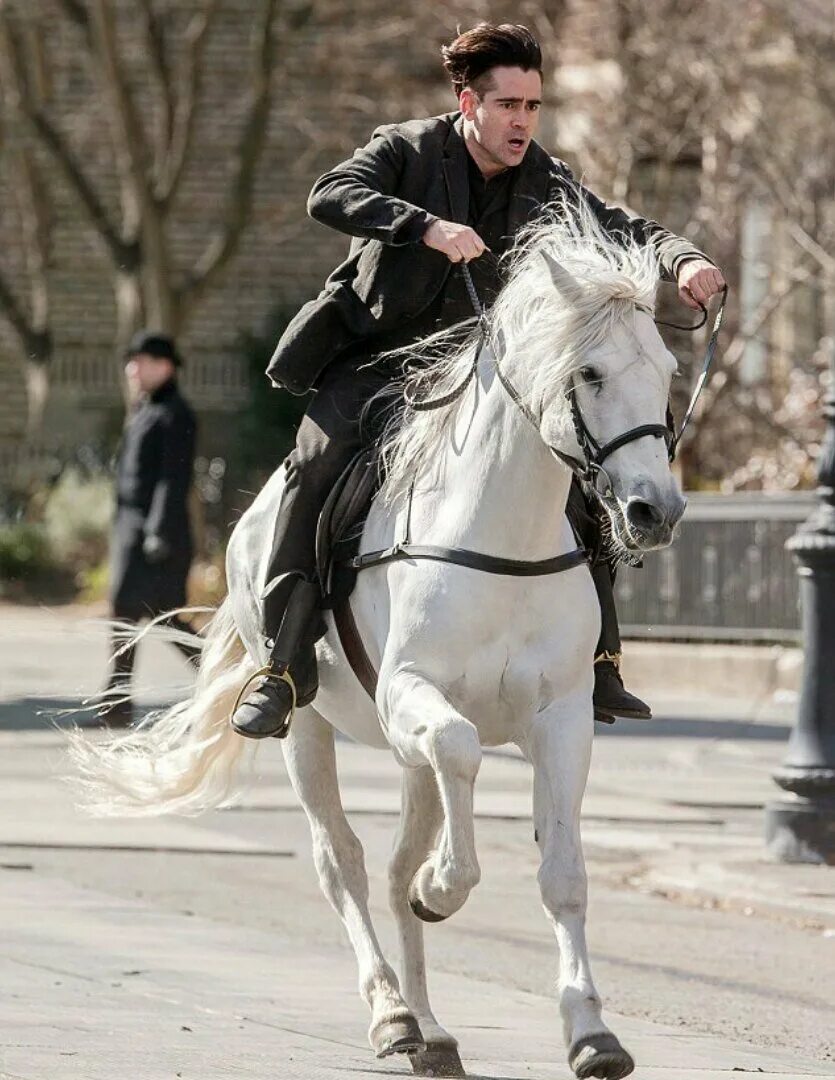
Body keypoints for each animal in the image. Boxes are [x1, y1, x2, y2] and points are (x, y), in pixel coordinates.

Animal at [71, 208, 682, 1080]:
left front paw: (591, 1034)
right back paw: (393, 1014)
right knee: (345, 862)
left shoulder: (561, 719)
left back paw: (430, 1029)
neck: (503, 537)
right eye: (590, 373)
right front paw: (446, 885)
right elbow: (458, 757)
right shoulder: (409, 696)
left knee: (390, 868)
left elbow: (561, 874)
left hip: (404, 753)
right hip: (309, 729)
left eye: (666, 369)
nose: (653, 511)